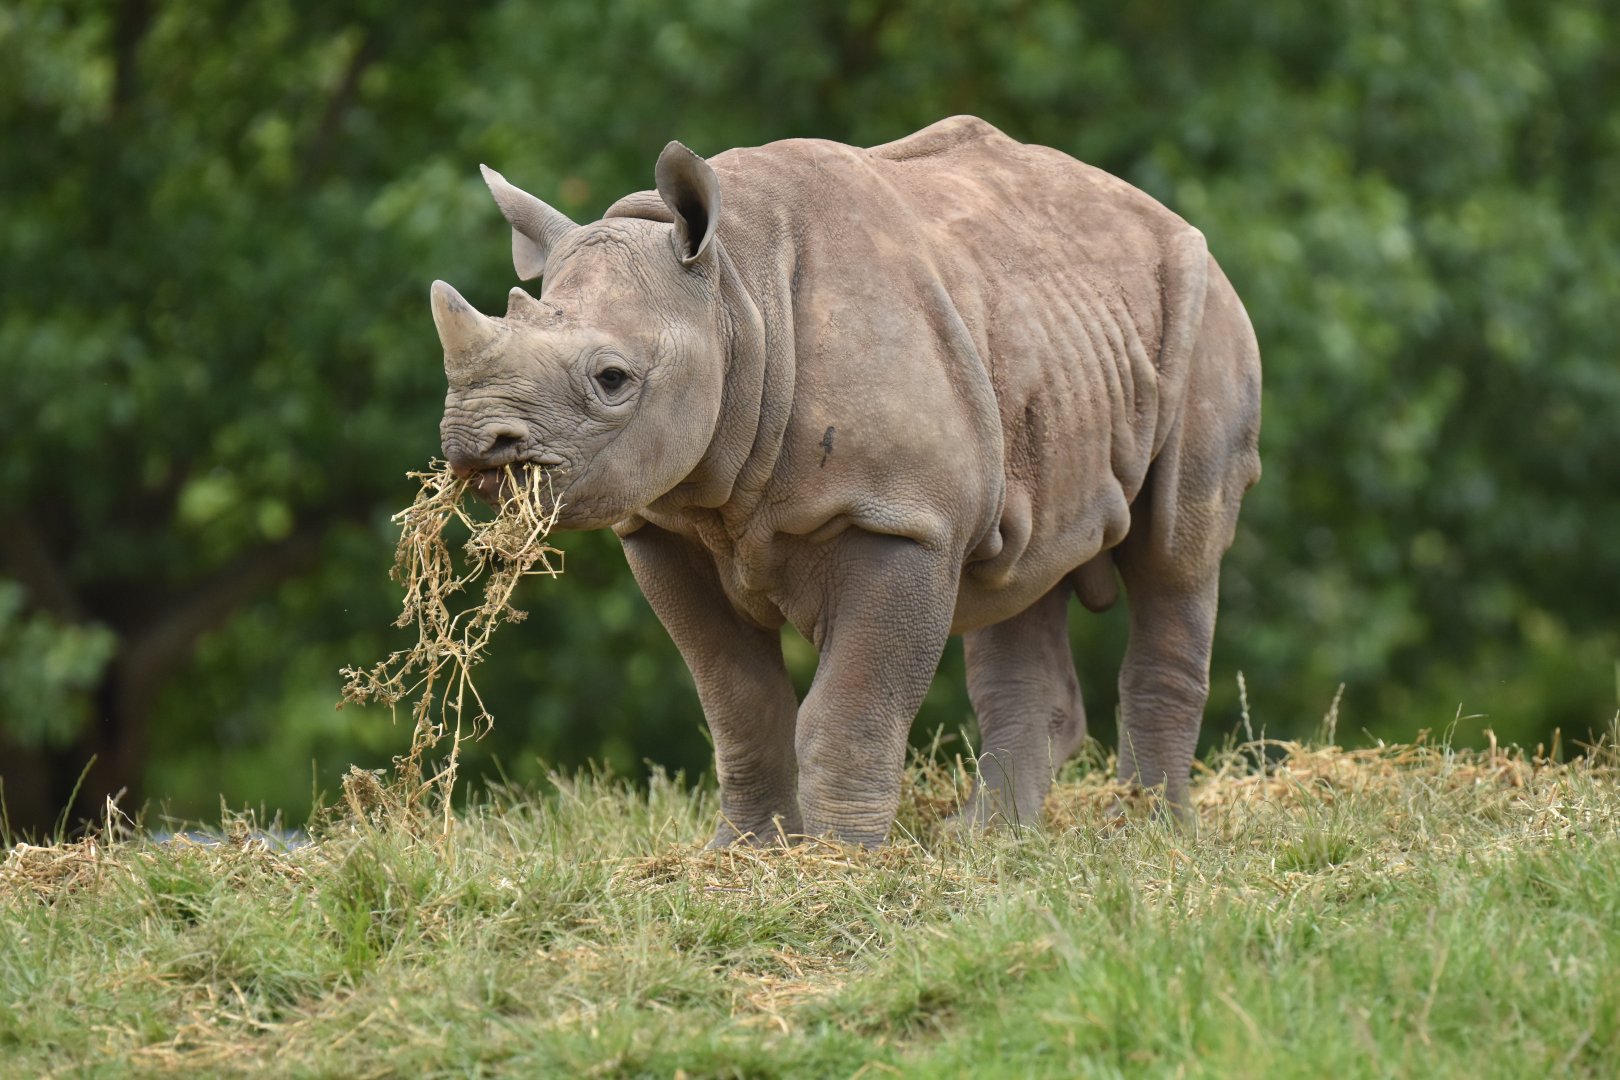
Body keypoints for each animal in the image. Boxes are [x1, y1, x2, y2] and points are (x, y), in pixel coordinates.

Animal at [430, 116, 1261, 846]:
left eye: (612, 379)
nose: (473, 443)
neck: (735, 296)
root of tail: (1172, 218)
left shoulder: (900, 516)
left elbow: (852, 703)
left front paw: (842, 861)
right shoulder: (664, 527)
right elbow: (738, 702)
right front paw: (746, 852)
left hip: (1207, 315)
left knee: (1175, 558)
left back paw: (1147, 835)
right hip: (1041, 334)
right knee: (1016, 566)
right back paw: (988, 842)